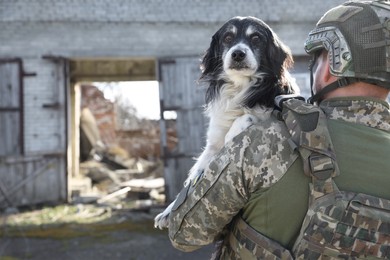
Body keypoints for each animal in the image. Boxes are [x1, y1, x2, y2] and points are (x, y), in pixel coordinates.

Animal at [154, 16, 298, 229]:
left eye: (256, 38)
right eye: (228, 38)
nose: (238, 53)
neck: (240, 87)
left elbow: (247, 118)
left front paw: (234, 132)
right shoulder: (213, 144)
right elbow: (193, 178)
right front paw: (168, 211)